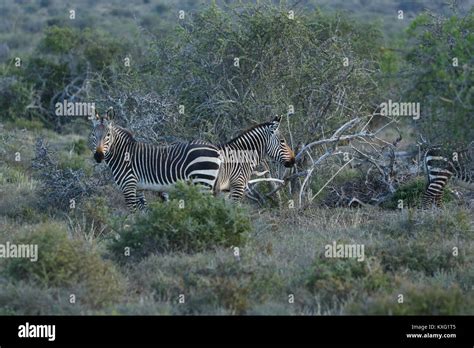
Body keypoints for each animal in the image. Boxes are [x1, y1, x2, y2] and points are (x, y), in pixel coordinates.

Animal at [89, 107, 222, 211]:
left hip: (202, 182)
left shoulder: (129, 185)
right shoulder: (139, 188)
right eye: (93, 134)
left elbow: (132, 214)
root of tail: (216, 150)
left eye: (108, 135)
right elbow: (143, 212)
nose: (98, 156)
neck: (122, 154)